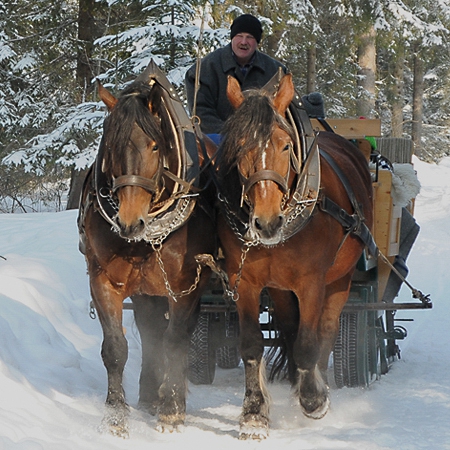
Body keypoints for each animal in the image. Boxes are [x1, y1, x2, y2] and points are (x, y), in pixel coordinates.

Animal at [78, 62, 216, 436]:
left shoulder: (184, 286)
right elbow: (115, 347)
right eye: (110, 146)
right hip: (145, 289)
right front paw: (115, 416)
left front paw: (172, 410)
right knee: (150, 328)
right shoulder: (103, 280)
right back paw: (149, 394)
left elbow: (175, 340)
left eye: (155, 146)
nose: (130, 222)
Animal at [216, 74, 374, 440]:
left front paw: (313, 400)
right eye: (238, 147)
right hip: (279, 288)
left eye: (285, 146)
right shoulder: (245, 282)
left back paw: (317, 384)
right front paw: (254, 414)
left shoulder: (311, 282)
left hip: (341, 279)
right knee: (289, 326)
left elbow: (308, 344)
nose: (266, 222)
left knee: (325, 332)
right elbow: (252, 345)